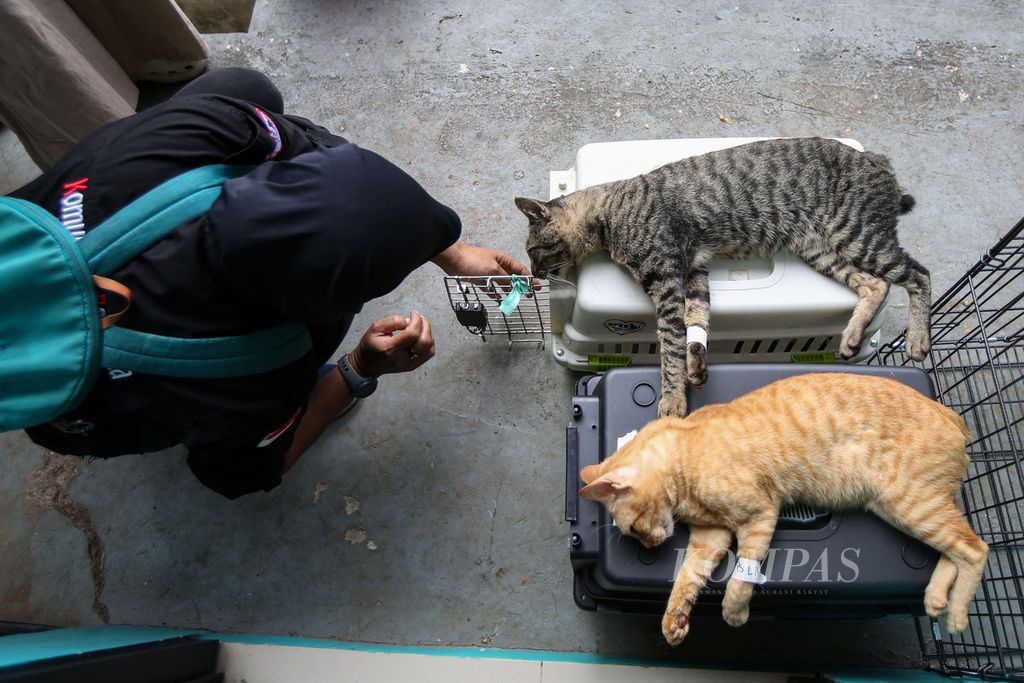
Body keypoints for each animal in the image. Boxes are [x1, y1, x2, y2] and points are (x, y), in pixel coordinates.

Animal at [516, 138, 933, 417]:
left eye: (534, 250)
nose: (535, 274)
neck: (610, 212)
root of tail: (876, 159)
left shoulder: (667, 280)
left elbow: (669, 344)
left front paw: (672, 398)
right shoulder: (695, 272)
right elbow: (697, 322)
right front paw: (696, 365)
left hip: (857, 234)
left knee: (918, 275)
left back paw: (917, 339)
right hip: (823, 249)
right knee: (876, 283)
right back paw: (850, 337)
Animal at [581, 374, 987, 647]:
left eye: (633, 529)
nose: (651, 546)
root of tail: (951, 413)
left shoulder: (758, 516)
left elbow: (741, 578)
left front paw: (734, 612)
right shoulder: (711, 537)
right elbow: (687, 578)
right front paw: (675, 620)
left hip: (910, 503)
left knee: (976, 549)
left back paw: (955, 616)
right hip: (910, 509)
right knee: (958, 545)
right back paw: (936, 598)